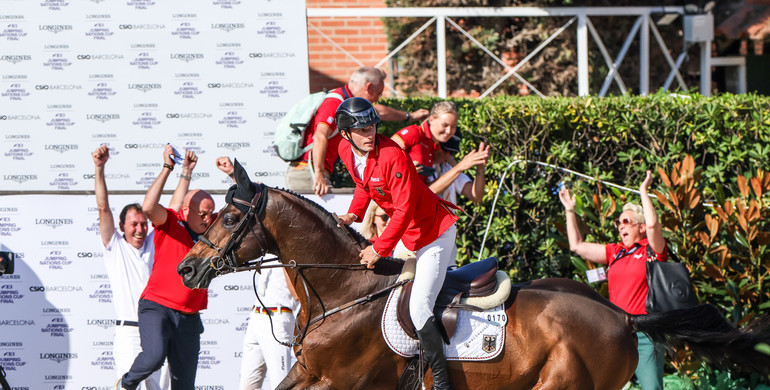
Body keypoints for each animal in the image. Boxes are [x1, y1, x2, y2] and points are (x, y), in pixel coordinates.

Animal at [176, 164, 768, 390]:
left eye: (227, 218)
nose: (186, 267)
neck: (343, 295)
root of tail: (624, 316)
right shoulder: (309, 374)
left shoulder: (341, 381)